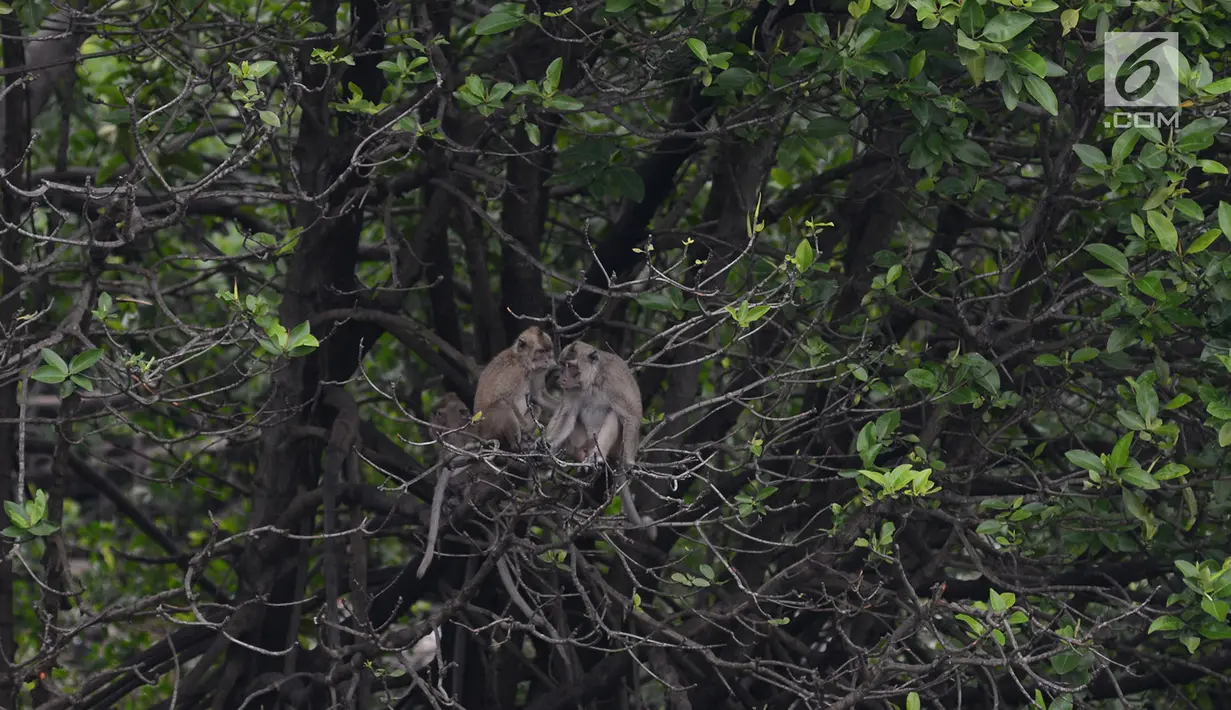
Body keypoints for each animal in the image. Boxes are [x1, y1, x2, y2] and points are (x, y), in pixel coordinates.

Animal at [541, 342, 654, 536]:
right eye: (562, 365)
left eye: (570, 366)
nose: (561, 378)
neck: (592, 380)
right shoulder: (572, 390)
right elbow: (567, 414)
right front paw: (546, 446)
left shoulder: (613, 381)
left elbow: (631, 416)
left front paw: (629, 464)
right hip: (581, 441)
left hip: (616, 445)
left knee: (614, 415)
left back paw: (597, 457)